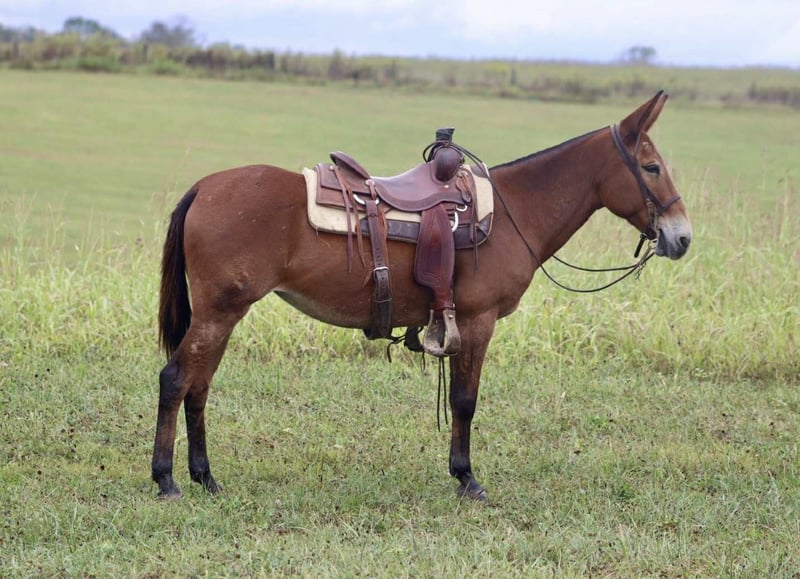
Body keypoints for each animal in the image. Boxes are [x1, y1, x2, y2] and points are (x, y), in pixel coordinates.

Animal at [152, 91, 692, 501]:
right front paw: (467, 477)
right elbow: (465, 400)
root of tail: (204, 187)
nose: (682, 237)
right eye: (650, 167)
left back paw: (204, 477)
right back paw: (166, 479)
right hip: (219, 312)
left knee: (199, 386)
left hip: (224, 314)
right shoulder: (476, 320)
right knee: (176, 380)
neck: (515, 210)